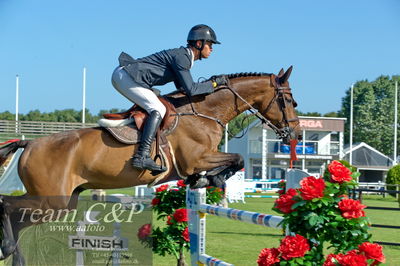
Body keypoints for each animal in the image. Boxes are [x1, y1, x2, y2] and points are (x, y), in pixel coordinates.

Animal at [0, 66, 300, 264]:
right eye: (288, 100)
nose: (294, 134)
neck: (205, 113)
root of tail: (30, 143)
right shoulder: (196, 159)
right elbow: (236, 159)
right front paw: (209, 179)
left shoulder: (201, 159)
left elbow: (234, 161)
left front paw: (206, 180)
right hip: (52, 200)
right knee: (7, 205)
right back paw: (8, 247)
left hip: (61, 203)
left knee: (18, 217)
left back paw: (14, 254)